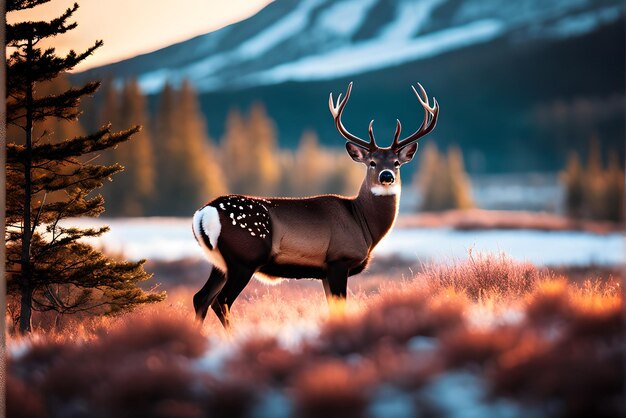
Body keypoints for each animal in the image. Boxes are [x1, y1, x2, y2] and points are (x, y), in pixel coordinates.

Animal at [191, 81, 438, 328]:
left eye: (396, 163)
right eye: (371, 162)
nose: (387, 176)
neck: (363, 224)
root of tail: (205, 212)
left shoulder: (326, 272)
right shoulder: (339, 259)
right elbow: (340, 307)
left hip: (220, 263)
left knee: (200, 298)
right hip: (244, 257)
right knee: (221, 301)